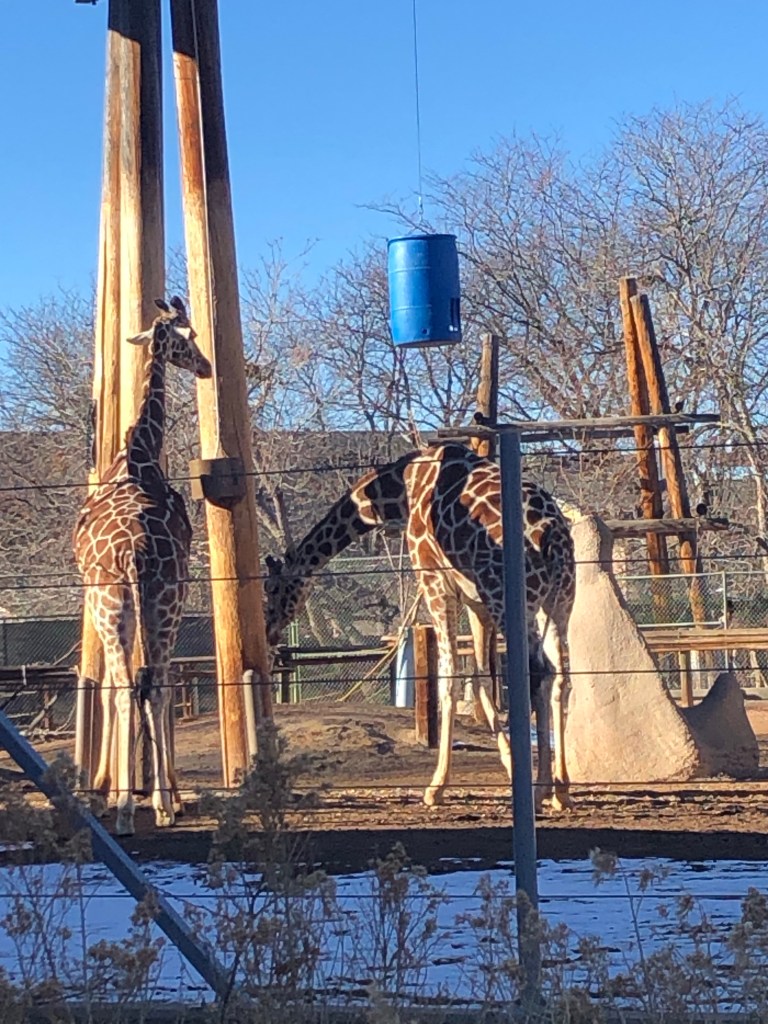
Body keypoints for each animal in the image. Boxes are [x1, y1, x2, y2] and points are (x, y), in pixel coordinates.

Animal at [73, 297, 212, 836]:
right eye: (187, 337)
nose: (206, 366)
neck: (137, 453)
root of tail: (133, 551)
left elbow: (118, 686)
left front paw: (115, 793)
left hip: (130, 604)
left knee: (139, 684)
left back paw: (138, 809)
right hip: (153, 603)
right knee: (149, 683)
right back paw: (151, 804)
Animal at [264, 441, 576, 812]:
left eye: (272, 589)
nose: (269, 630)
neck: (400, 490)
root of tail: (552, 534)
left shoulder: (434, 580)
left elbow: (450, 678)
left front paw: (436, 787)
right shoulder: (475, 600)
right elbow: (481, 678)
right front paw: (510, 765)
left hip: (514, 599)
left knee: (538, 672)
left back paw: (540, 789)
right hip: (558, 599)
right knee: (559, 674)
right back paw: (560, 789)